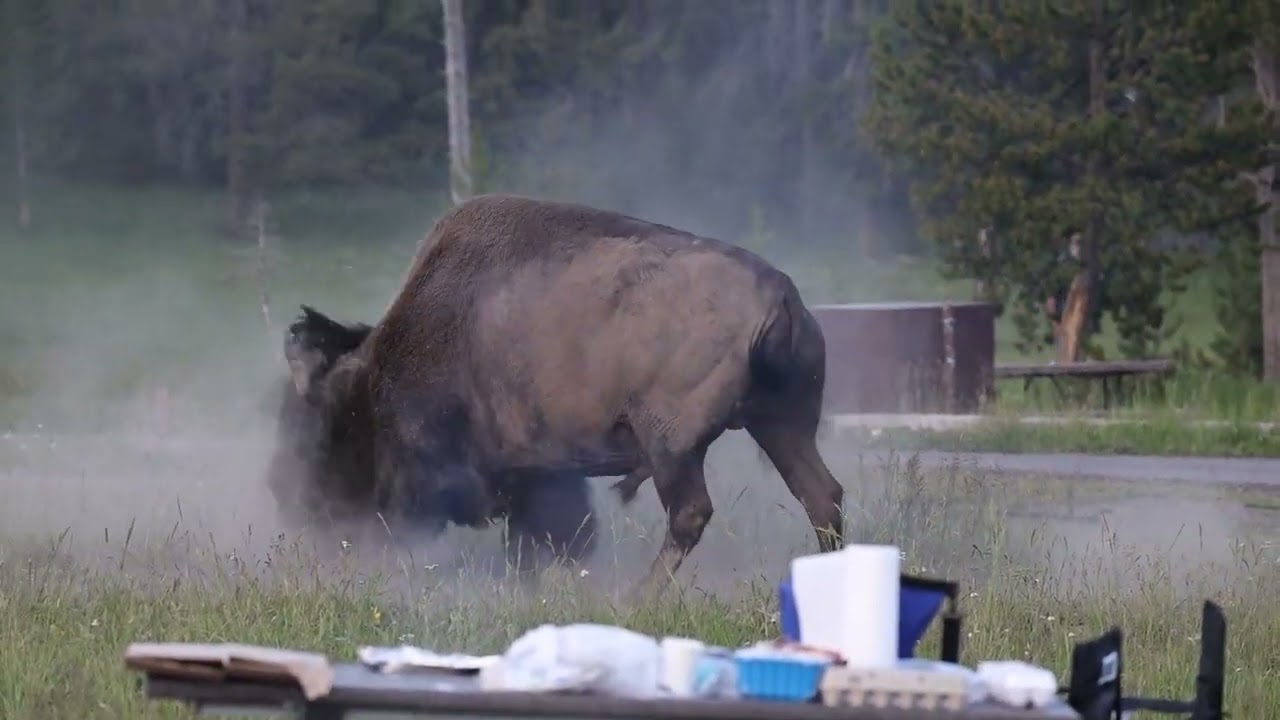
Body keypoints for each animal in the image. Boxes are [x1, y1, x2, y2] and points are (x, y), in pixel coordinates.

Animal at [268, 193, 845, 595]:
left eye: (318, 424)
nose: (296, 501)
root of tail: (780, 297)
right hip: (782, 426)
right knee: (822, 495)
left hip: (674, 448)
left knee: (691, 514)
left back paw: (637, 598)